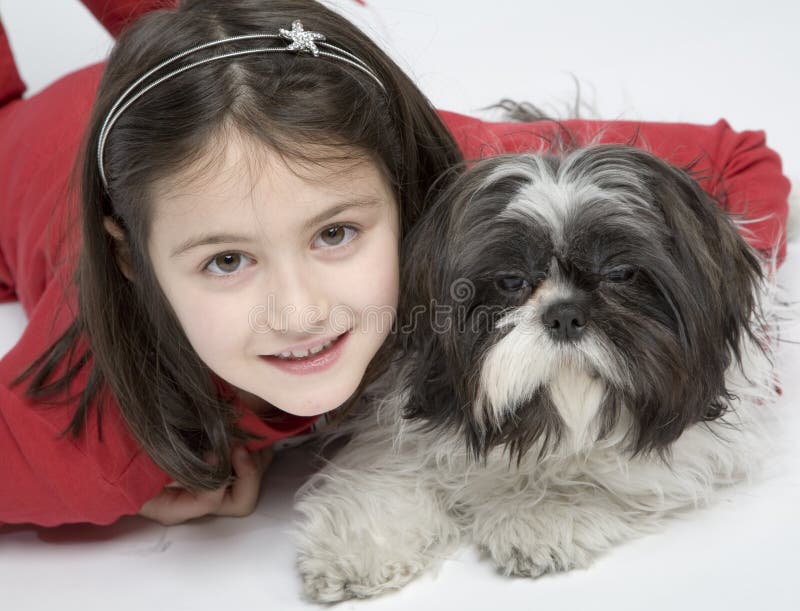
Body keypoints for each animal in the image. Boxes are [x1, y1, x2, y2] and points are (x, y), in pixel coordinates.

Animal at [290, 142, 780, 604]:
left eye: (620, 273)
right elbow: (394, 468)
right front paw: (358, 549)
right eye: (511, 281)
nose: (564, 314)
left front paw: (541, 513)